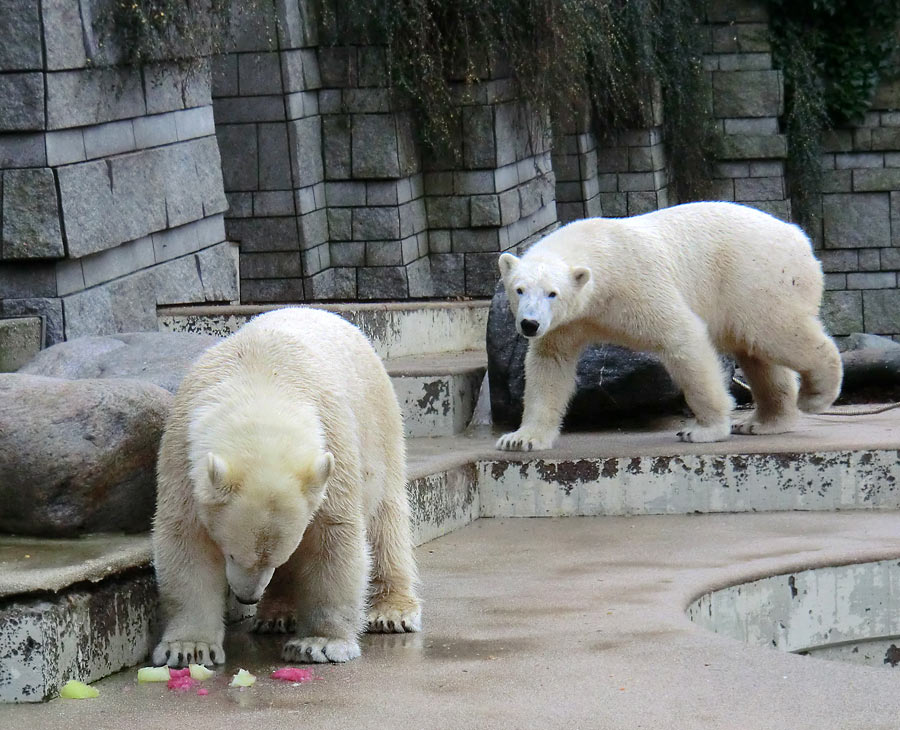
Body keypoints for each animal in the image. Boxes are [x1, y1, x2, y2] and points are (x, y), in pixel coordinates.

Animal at [151, 304, 422, 664]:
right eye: (231, 553)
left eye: (274, 560)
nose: (247, 597)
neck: (261, 383)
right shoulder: (182, 452)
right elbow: (185, 540)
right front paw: (188, 648)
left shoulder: (332, 448)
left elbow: (333, 536)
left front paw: (320, 643)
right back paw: (276, 615)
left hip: (380, 422)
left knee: (386, 518)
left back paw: (392, 611)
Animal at [500, 200, 844, 450]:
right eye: (519, 289)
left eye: (552, 293)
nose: (529, 324)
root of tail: (798, 236)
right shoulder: (567, 323)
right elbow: (549, 363)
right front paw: (521, 439)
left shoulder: (635, 285)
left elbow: (682, 337)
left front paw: (703, 430)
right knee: (756, 353)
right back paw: (763, 422)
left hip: (757, 277)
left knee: (775, 333)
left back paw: (816, 395)